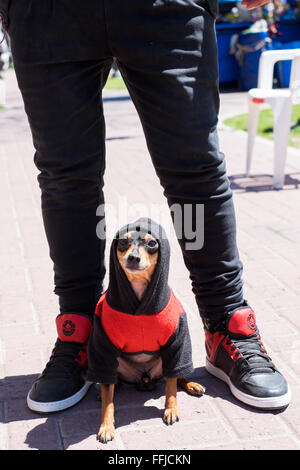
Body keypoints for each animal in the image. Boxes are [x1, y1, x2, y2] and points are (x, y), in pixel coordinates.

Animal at [86, 218, 204, 442]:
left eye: (151, 243)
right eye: (123, 242)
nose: (133, 257)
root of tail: (144, 379)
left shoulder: (176, 341)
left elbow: (171, 386)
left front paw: (171, 410)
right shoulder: (104, 348)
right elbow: (108, 400)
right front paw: (106, 426)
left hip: (168, 361)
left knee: (176, 375)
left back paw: (192, 385)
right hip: (117, 365)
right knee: (111, 382)